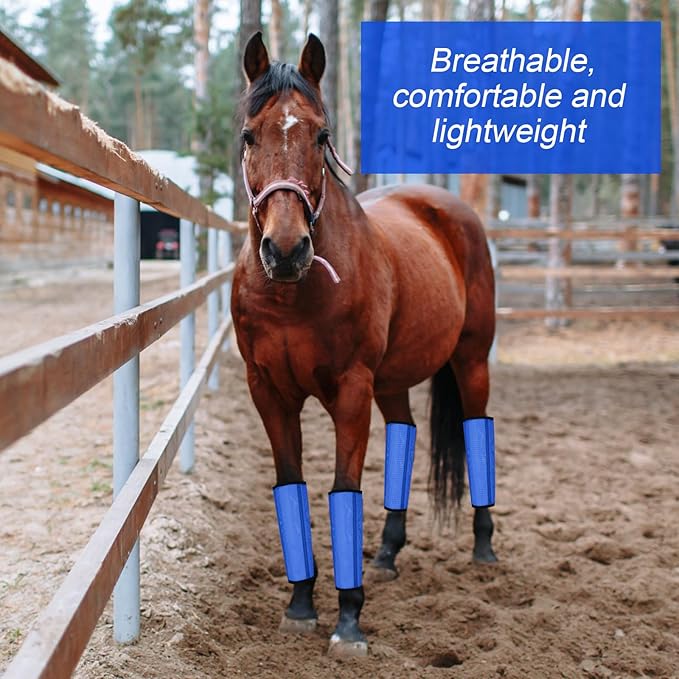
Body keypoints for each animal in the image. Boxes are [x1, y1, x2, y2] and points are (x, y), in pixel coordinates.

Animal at [231, 32, 497, 656]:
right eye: (249, 135)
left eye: (321, 135)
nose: (285, 250)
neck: (292, 293)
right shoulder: (269, 393)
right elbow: (292, 486)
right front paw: (300, 604)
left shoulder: (351, 391)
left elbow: (343, 489)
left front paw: (348, 619)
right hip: (393, 381)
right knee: (405, 431)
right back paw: (387, 553)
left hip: (471, 360)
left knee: (477, 427)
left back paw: (483, 546)